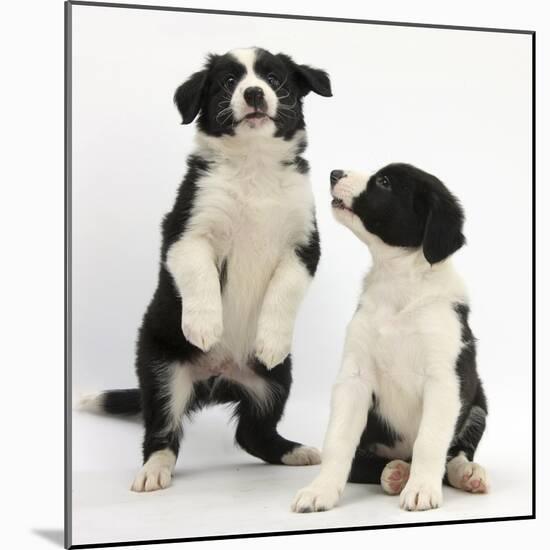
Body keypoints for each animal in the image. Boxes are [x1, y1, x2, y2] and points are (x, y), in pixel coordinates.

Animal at [82, 47, 332, 494]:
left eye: (274, 78)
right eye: (229, 82)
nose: (254, 93)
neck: (254, 167)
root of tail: (218, 378)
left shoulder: (303, 246)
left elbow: (284, 291)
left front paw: (271, 338)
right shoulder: (187, 233)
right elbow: (200, 276)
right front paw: (204, 326)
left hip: (276, 381)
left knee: (253, 434)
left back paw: (294, 451)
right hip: (161, 371)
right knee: (162, 431)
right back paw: (154, 470)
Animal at [294, 164, 492, 512]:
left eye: (384, 182)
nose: (334, 173)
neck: (399, 283)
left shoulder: (445, 379)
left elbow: (430, 440)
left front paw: (422, 488)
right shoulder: (354, 377)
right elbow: (338, 441)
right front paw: (320, 490)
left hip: (479, 403)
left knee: (455, 455)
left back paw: (466, 473)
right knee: (367, 464)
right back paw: (396, 472)